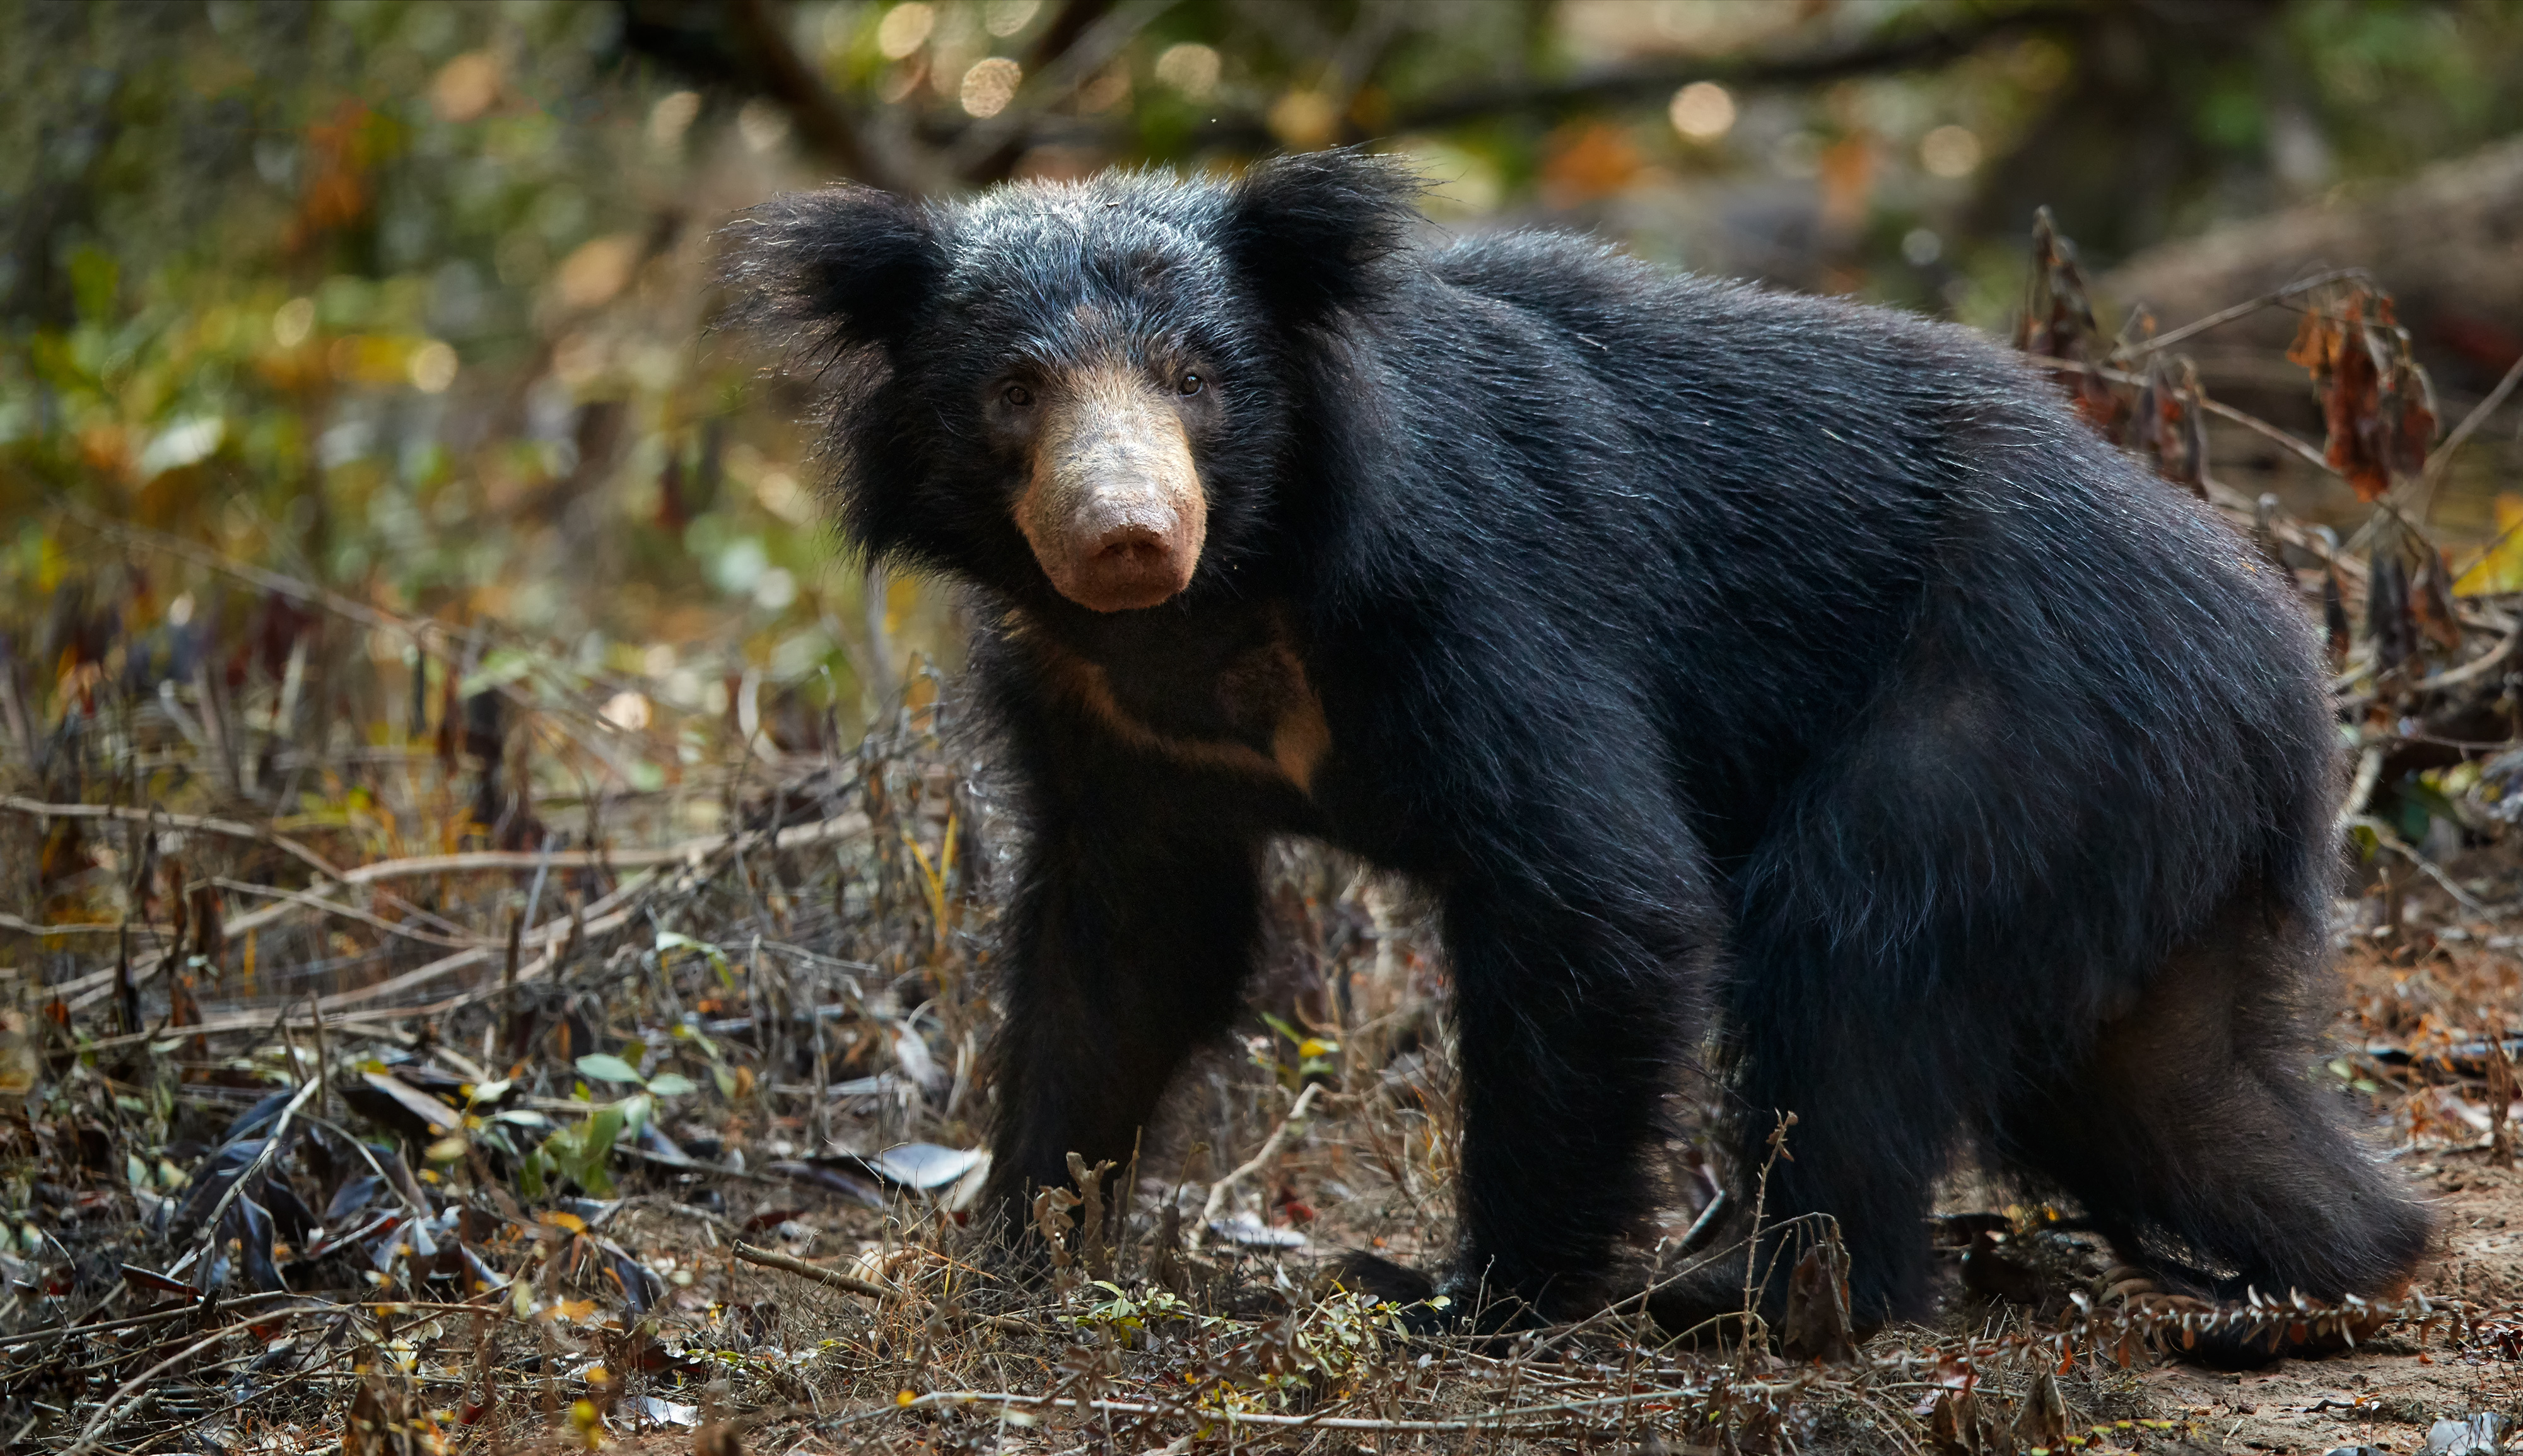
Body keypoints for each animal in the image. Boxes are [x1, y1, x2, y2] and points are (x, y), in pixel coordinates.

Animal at [725, 148, 2432, 1345]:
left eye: (1197, 381)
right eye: (1015, 391)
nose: (1126, 534)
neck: (1227, 604)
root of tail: (2285, 666)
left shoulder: (1476, 594)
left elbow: (1592, 898)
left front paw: (1467, 1293)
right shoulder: (1100, 713)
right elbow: (1124, 950)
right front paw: (1016, 1241)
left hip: (2002, 717)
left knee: (1850, 953)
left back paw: (1764, 1290)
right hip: (2119, 816)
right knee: (2168, 1079)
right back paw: (2337, 1260)